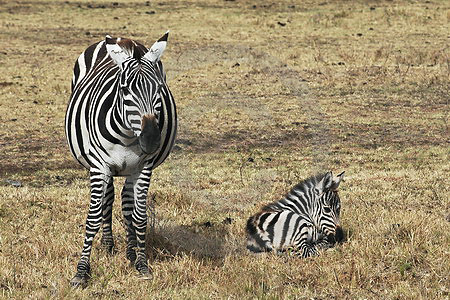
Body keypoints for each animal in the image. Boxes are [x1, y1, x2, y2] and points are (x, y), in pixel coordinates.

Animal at [65, 31, 178, 288]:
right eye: (125, 90)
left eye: (159, 89)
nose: (151, 141)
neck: (127, 135)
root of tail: (121, 39)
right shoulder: (99, 166)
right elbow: (93, 217)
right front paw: (81, 271)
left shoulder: (143, 167)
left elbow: (139, 216)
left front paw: (142, 264)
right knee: (107, 200)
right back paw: (108, 245)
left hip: (130, 169)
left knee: (126, 202)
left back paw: (130, 251)